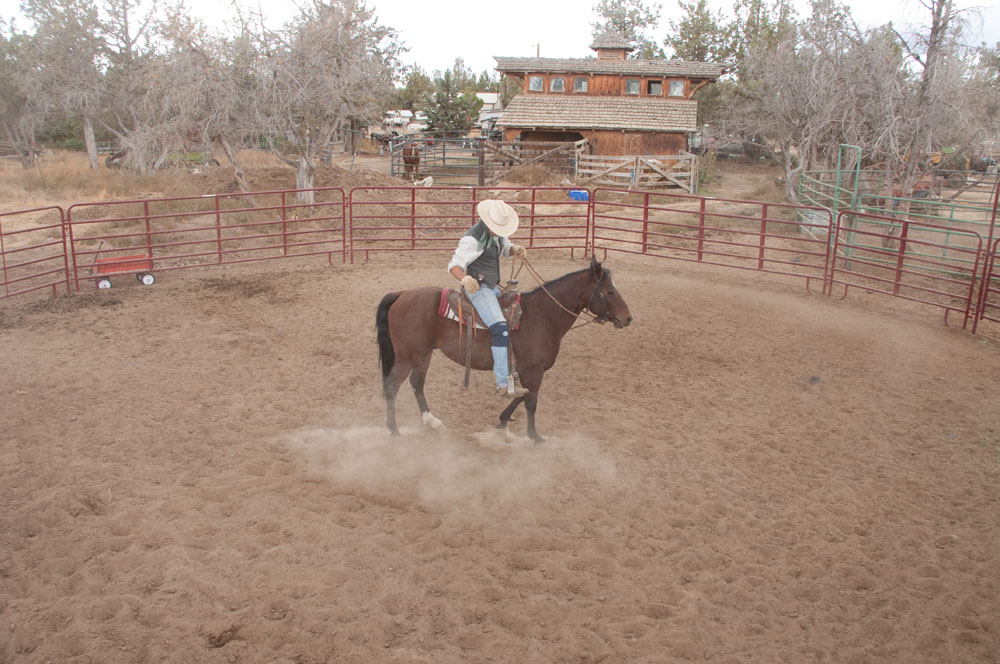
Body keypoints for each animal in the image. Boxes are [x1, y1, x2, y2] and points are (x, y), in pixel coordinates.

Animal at [375, 257, 633, 442]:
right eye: (609, 291)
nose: (628, 318)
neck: (543, 315)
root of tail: (401, 295)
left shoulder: (528, 372)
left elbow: (523, 395)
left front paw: (502, 421)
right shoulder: (533, 370)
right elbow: (531, 401)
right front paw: (535, 436)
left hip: (423, 354)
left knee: (416, 383)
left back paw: (432, 421)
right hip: (407, 356)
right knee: (392, 386)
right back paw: (394, 430)